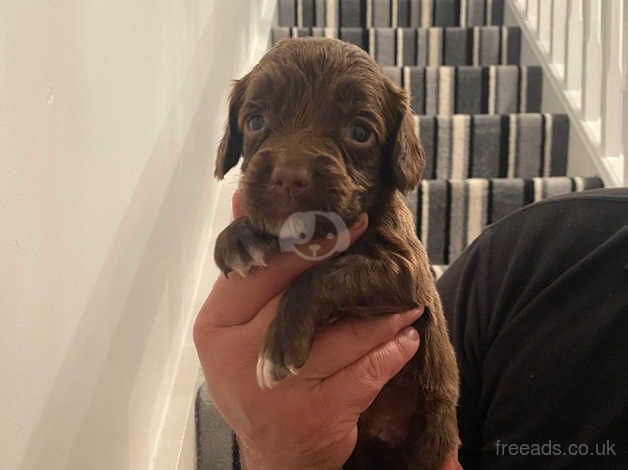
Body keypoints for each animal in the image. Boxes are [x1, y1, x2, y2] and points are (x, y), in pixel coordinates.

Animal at [213, 37, 458, 470]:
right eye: (256, 121)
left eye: (359, 132)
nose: (289, 176)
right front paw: (239, 237)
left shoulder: (410, 276)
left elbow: (327, 274)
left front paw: (280, 344)